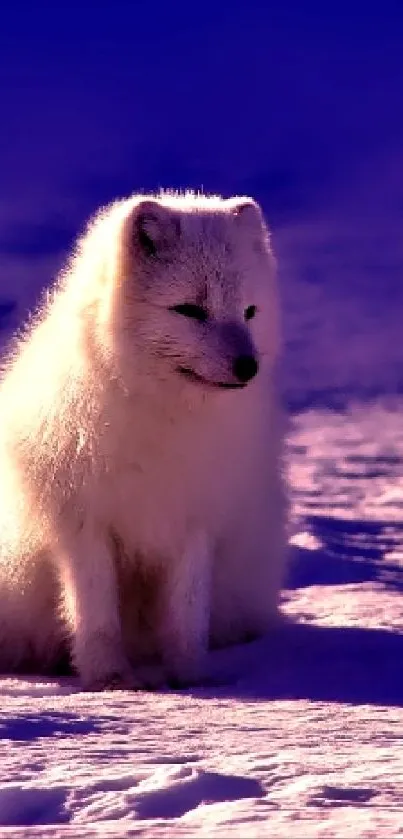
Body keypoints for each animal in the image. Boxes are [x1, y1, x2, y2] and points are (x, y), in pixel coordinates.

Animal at [0, 194, 288, 692]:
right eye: (190, 310)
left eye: (249, 312)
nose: (248, 366)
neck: (165, 419)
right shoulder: (83, 524)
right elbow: (95, 615)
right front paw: (110, 679)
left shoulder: (194, 520)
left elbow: (187, 616)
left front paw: (190, 677)